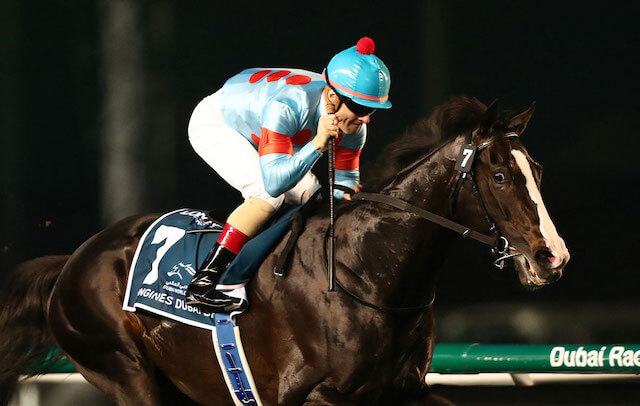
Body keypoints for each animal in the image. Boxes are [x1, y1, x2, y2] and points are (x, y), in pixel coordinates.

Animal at [0, 97, 569, 405]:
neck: (370, 274)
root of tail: (73, 261)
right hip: (125, 371)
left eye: (537, 171)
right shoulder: (311, 393)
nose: (553, 257)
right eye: (500, 176)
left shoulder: (405, 390)